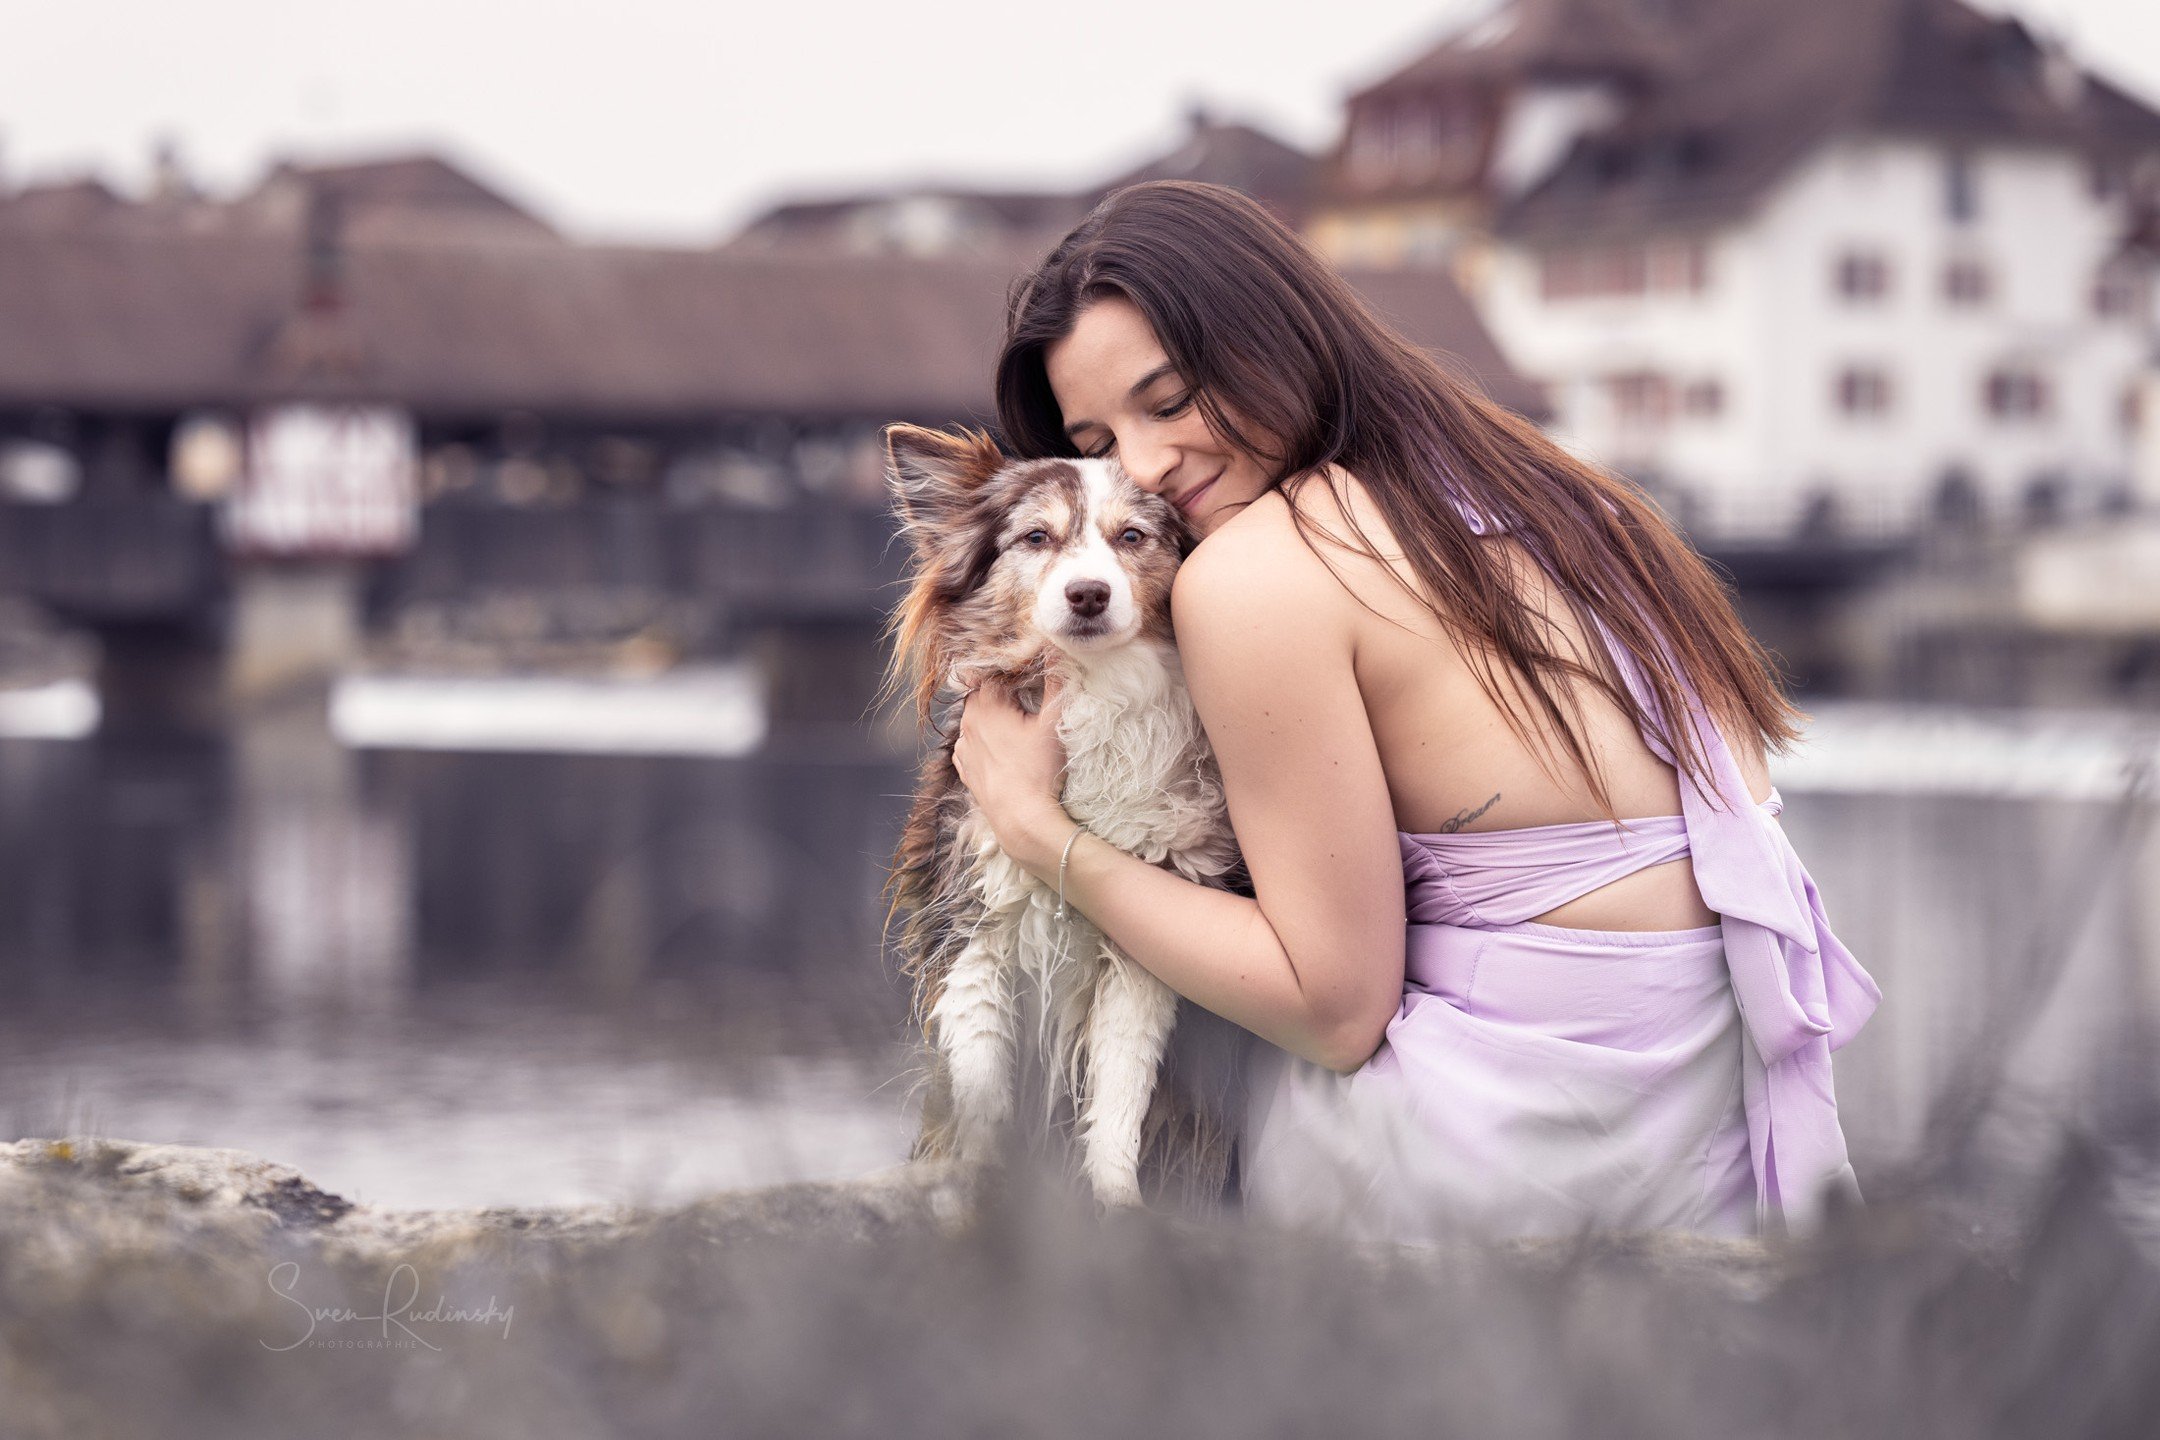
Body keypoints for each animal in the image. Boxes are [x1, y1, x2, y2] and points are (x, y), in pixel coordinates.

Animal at [881, 423, 1252, 1208]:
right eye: (1036, 538)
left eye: (1133, 536)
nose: (1088, 593)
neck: (1094, 684)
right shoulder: (973, 926)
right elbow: (983, 1084)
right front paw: (981, 1181)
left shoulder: (1146, 945)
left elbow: (1120, 1089)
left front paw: (1115, 1201)